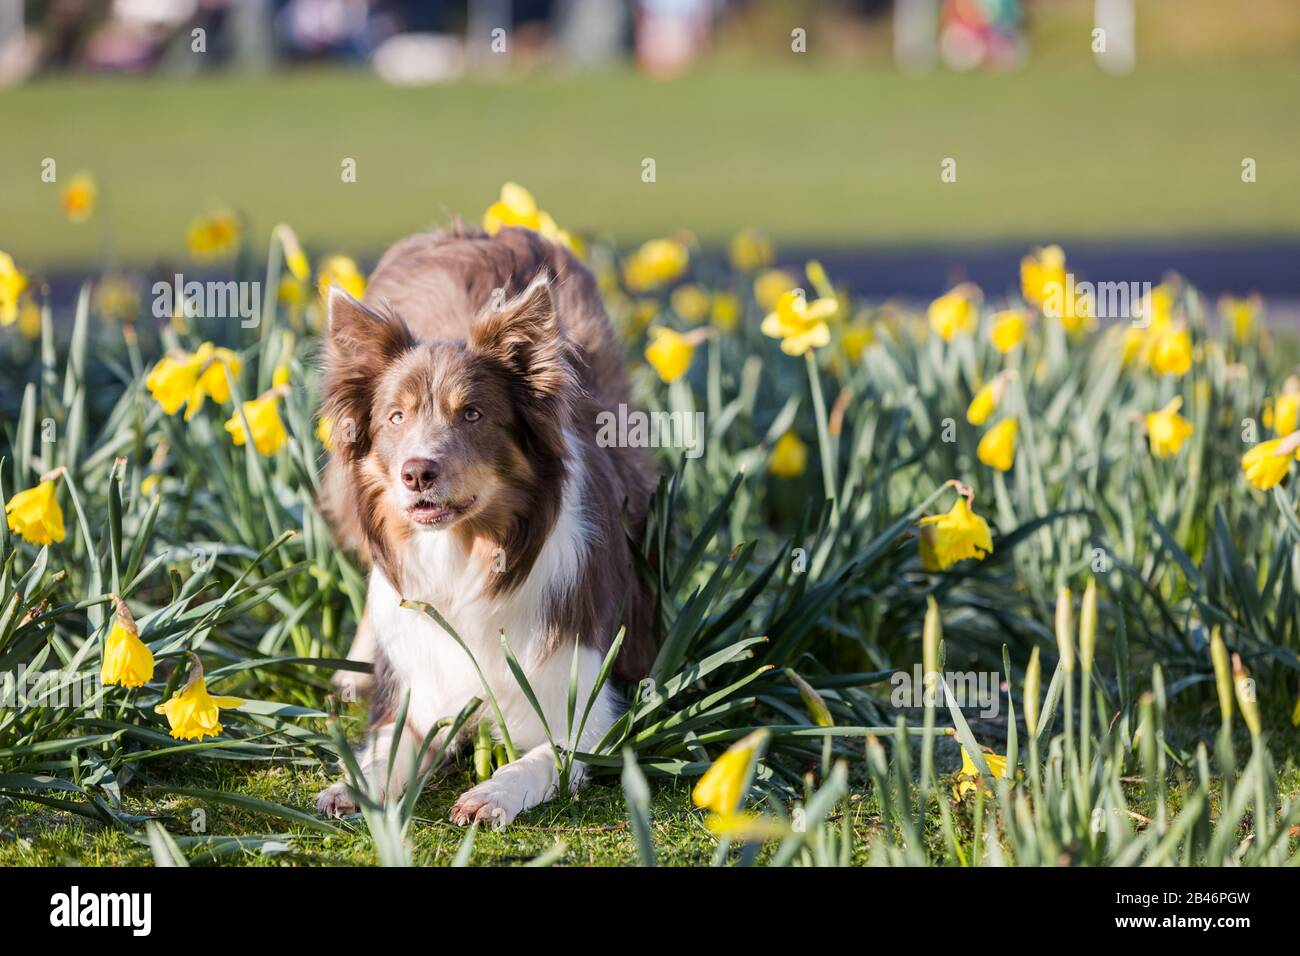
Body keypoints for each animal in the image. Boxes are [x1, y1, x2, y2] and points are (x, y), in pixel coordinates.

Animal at [313, 227, 655, 827]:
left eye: (471, 414)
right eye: (396, 417)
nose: (416, 472)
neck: (466, 557)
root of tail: (481, 229)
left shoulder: (585, 713)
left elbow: (540, 760)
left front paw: (492, 793)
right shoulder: (424, 687)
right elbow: (389, 746)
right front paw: (355, 783)